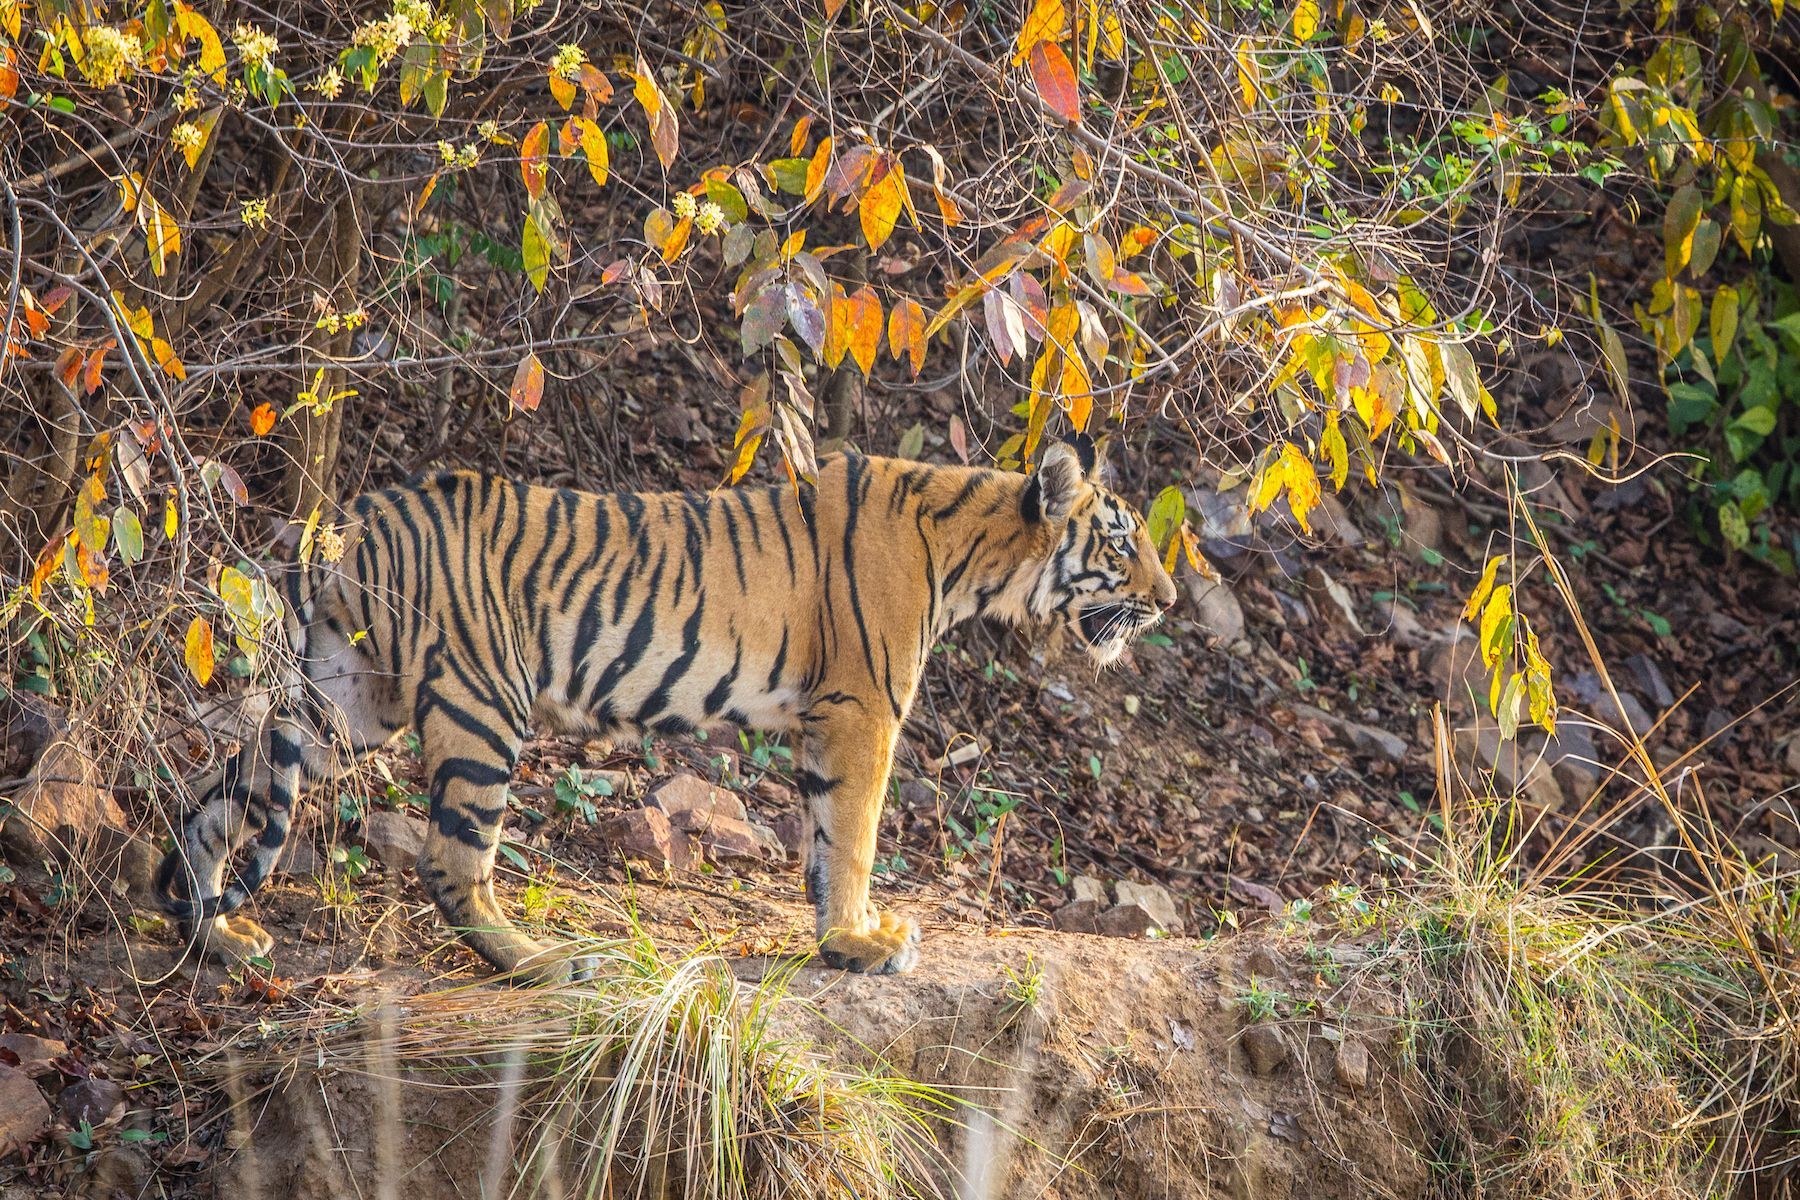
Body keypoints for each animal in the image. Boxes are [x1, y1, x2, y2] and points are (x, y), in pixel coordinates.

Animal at [154, 437, 1180, 978]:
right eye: (1123, 543)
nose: (1170, 600)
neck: (976, 554)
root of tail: (355, 520)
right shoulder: (862, 709)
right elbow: (855, 834)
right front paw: (865, 939)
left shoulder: (824, 722)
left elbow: (822, 839)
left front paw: (834, 941)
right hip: (484, 703)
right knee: (451, 862)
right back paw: (539, 960)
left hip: (344, 702)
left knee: (219, 803)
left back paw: (216, 933)